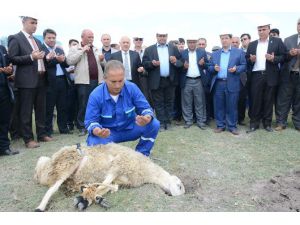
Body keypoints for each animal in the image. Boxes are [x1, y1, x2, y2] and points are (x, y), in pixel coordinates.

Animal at [34, 143, 185, 212]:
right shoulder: (117, 167)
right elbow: (102, 185)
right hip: (67, 164)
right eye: (179, 186)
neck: (145, 171)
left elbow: (108, 188)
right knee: (52, 188)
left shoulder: (119, 178)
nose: (169, 194)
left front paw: (92, 198)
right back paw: (40, 207)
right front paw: (87, 197)